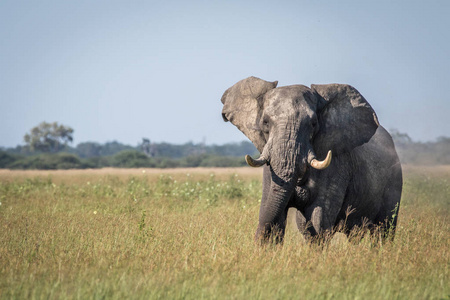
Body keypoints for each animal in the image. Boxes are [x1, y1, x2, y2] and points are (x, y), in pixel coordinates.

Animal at [220, 76, 402, 243]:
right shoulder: (270, 170)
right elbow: (275, 216)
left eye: (314, 123)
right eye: (265, 122)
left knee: (384, 229)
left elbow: (315, 221)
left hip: (395, 180)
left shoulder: (337, 166)